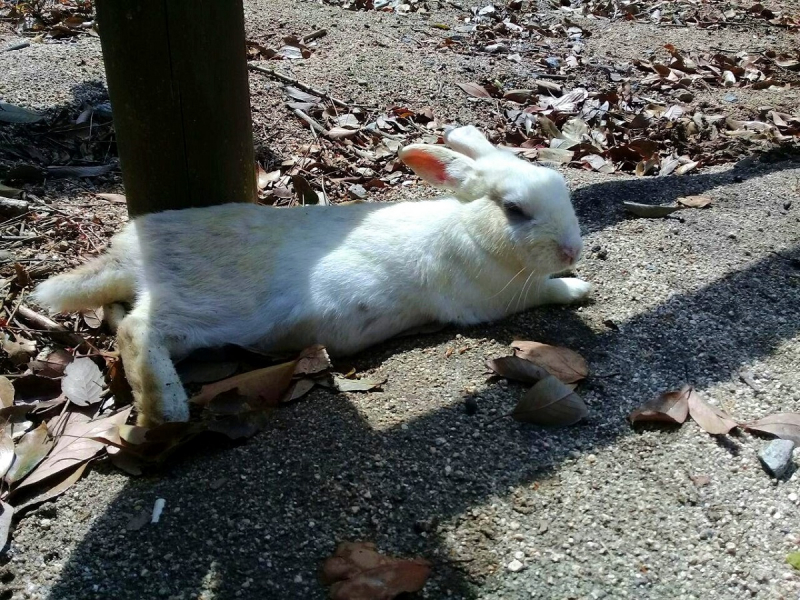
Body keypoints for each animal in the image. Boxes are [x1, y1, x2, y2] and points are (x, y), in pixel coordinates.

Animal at [32, 125, 588, 426]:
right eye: (514, 210)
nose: (571, 249)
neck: (468, 227)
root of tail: (134, 260)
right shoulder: (497, 299)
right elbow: (547, 292)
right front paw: (579, 287)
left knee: (121, 318)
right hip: (202, 309)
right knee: (137, 331)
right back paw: (167, 410)